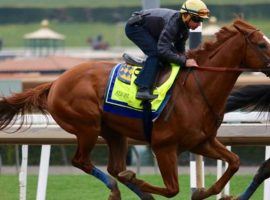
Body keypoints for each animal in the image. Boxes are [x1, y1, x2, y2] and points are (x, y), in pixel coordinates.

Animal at [0, 19, 270, 200]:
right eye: (261, 44)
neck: (196, 89)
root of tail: (55, 82)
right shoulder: (164, 146)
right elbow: (172, 189)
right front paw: (136, 178)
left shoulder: (201, 142)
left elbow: (234, 162)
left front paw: (207, 192)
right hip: (87, 127)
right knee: (83, 162)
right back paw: (118, 187)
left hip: (114, 132)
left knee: (113, 167)